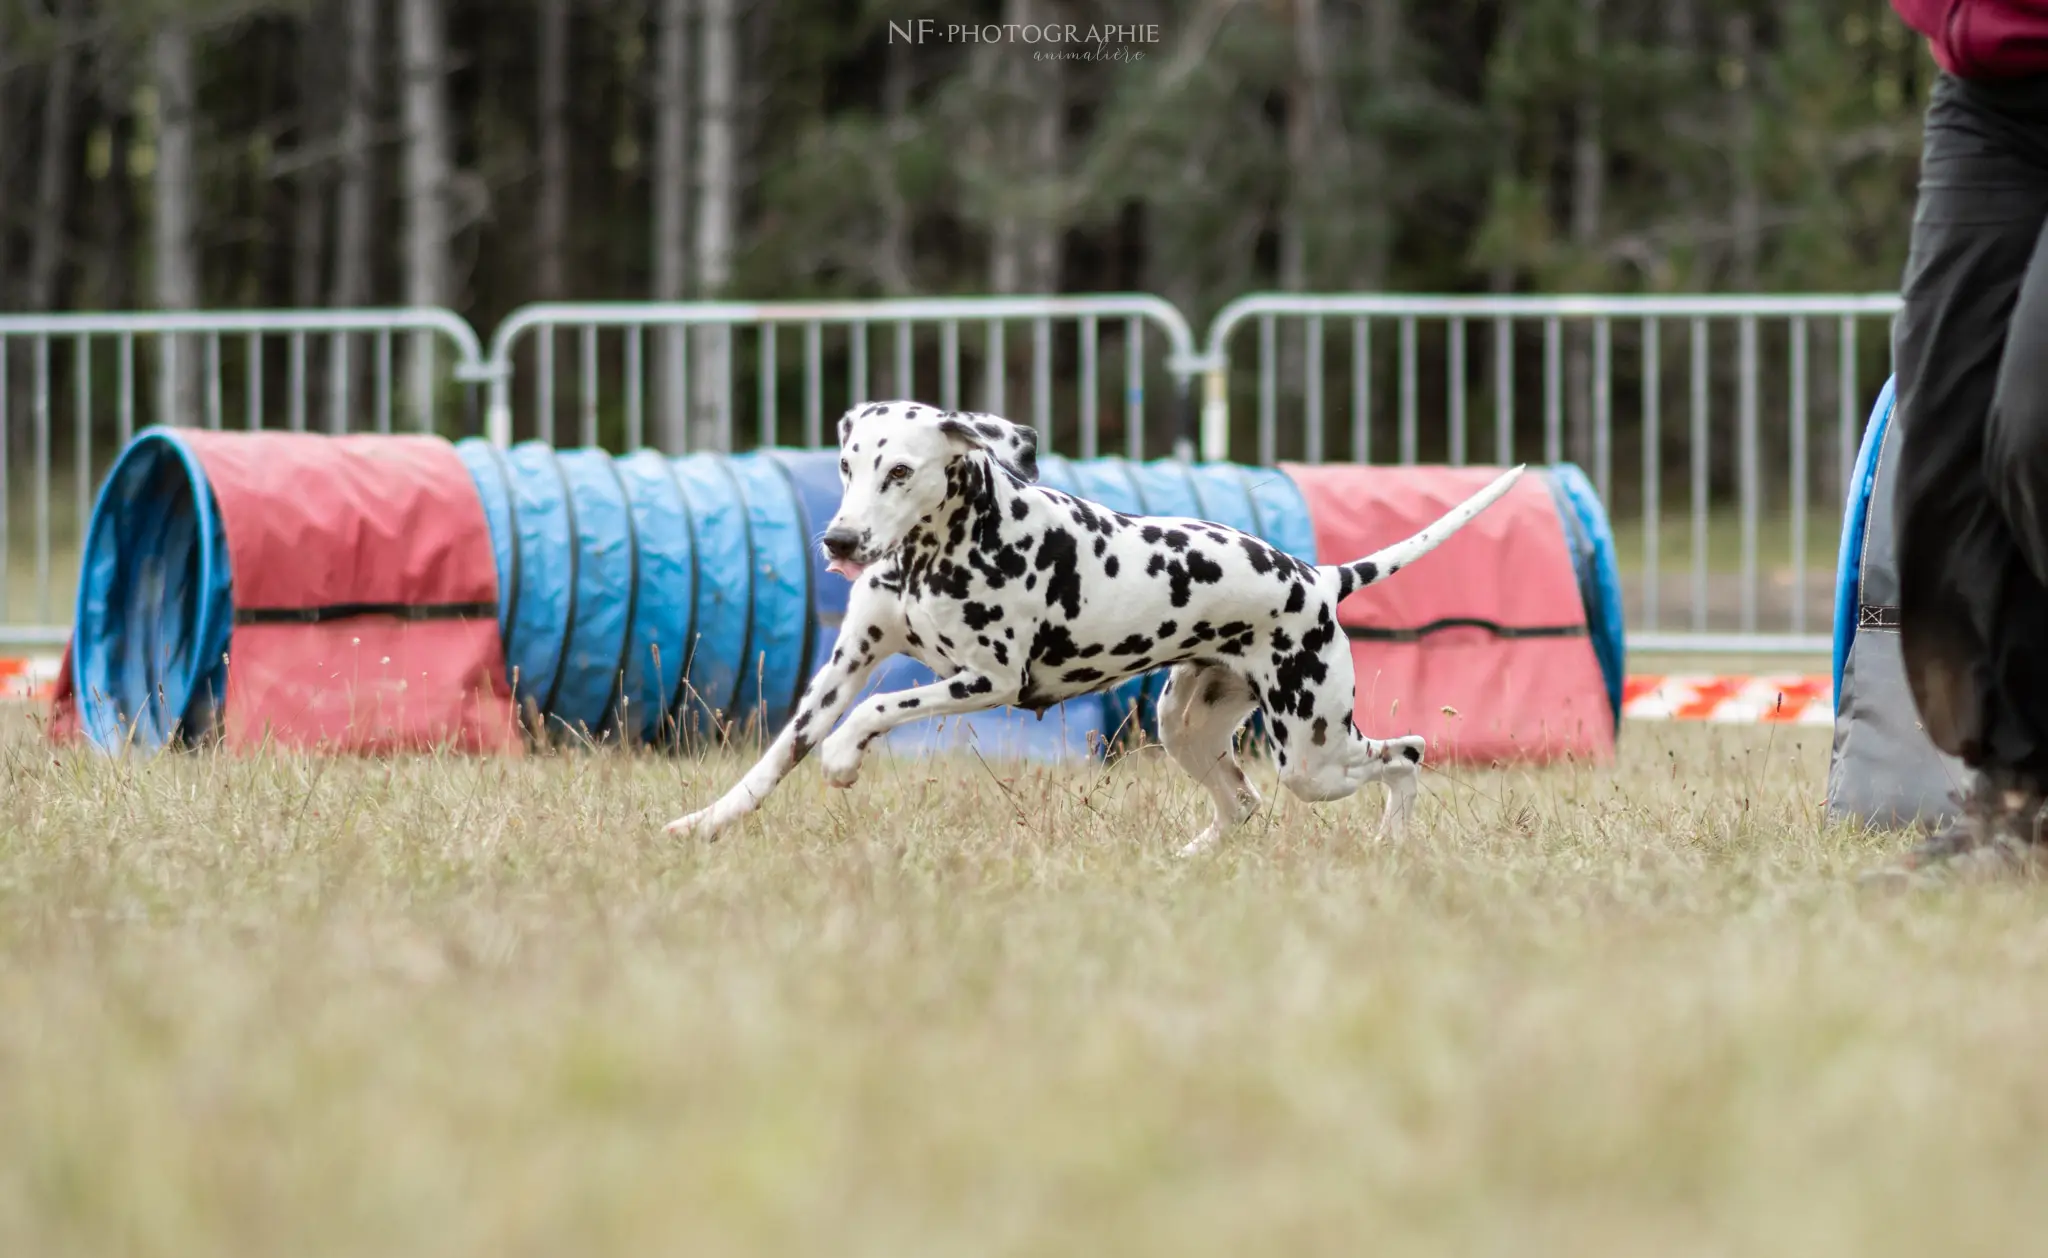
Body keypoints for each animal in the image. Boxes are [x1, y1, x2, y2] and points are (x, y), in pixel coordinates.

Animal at [663, 403, 1531, 856]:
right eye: (846, 467)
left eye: (900, 471)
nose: (839, 541)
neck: (940, 548)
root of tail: (1316, 578)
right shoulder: (847, 662)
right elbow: (774, 759)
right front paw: (703, 822)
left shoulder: (987, 680)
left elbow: (878, 711)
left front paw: (845, 757)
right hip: (1186, 726)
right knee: (1243, 804)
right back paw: (1190, 861)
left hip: (1313, 755)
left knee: (1405, 753)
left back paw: (1391, 840)